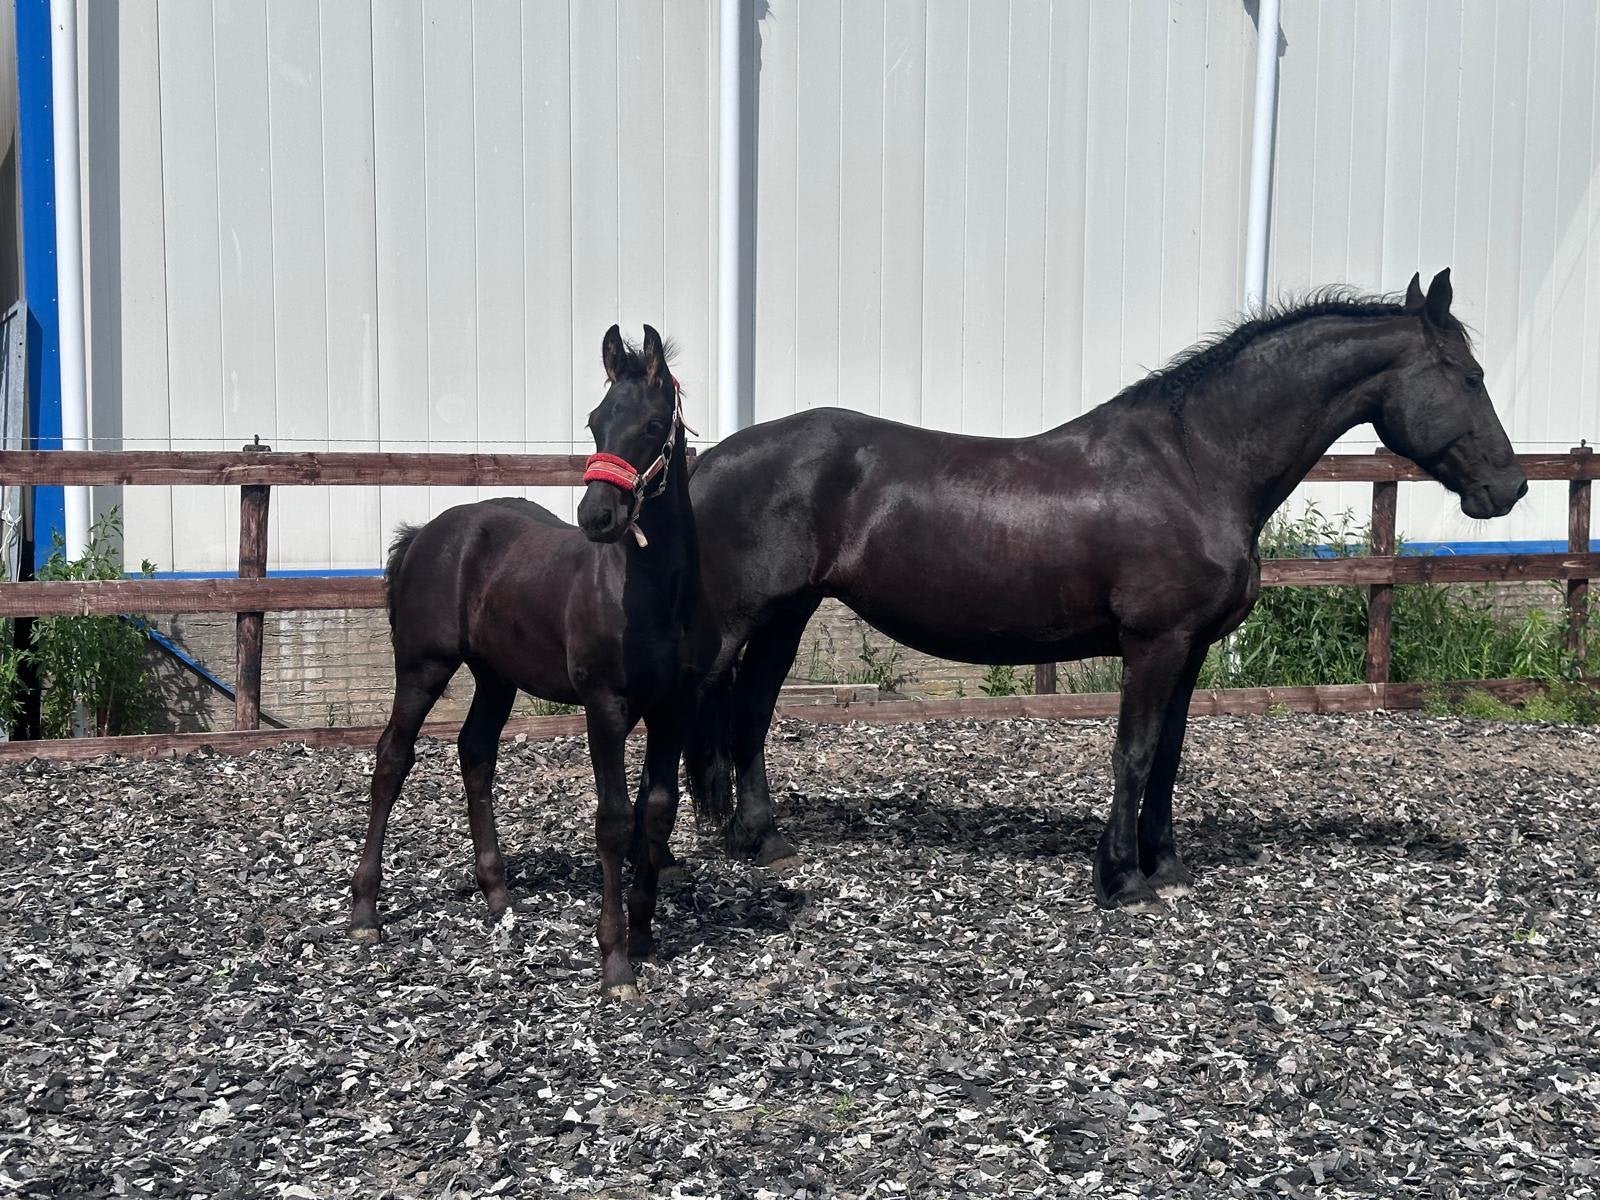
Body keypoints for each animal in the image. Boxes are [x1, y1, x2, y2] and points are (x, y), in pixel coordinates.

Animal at [349, 324, 709, 998]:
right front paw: (615, 961)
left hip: (496, 677)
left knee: (475, 752)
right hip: (423, 667)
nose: (597, 517)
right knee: (392, 759)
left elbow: (657, 810)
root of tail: (425, 534)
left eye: (652, 425)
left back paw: (497, 894)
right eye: (595, 421)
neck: (650, 589)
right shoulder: (605, 706)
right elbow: (613, 819)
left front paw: (645, 933)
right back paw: (365, 912)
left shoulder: (675, 706)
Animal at [684, 270, 1528, 910]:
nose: (1510, 488)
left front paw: (1166, 865)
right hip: (736, 621)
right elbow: (1134, 751)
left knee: (751, 714)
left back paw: (760, 842)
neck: (1194, 465)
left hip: (786, 615)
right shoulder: (1154, 645)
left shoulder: (1189, 650)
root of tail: (708, 460)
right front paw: (1122, 878)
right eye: (1470, 377)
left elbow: (1170, 756)